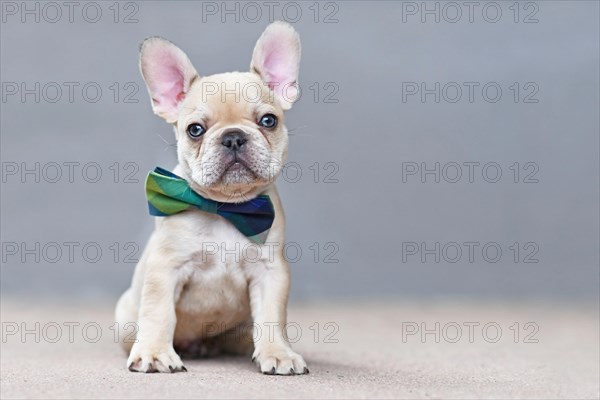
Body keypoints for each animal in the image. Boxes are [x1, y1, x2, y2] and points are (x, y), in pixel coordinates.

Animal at [116, 21, 310, 376]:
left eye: (268, 121)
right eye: (195, 130)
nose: (233, 137)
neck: (225, 207)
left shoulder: (271, 272)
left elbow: (272, 318)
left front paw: (279, 354)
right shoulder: (165, 269)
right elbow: (158, 312)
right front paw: (154, 353)